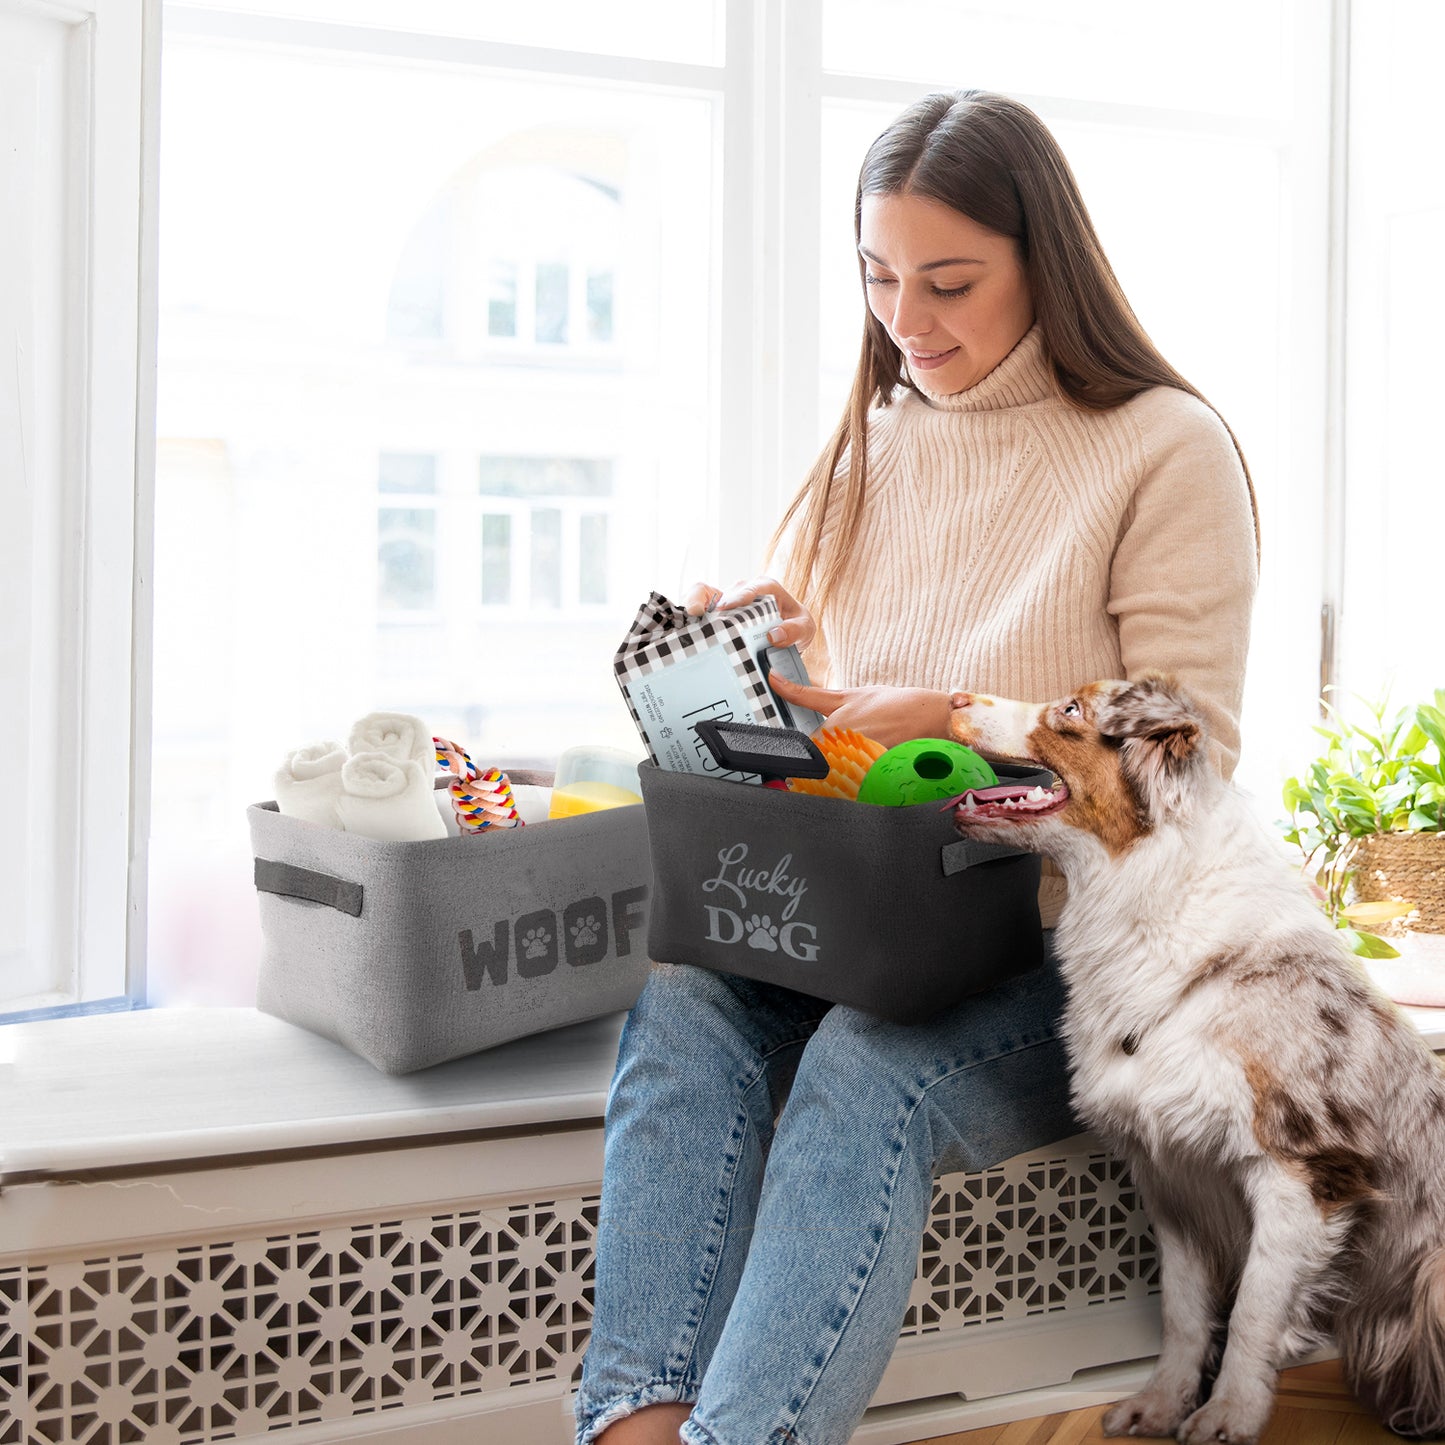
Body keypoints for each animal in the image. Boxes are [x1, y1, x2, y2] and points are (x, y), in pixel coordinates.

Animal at [942, 676, 1445, 1445]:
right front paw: (1161, 1402)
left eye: (1071, 710)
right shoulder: (1171, 1175)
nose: (951, 696)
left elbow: (1253, 1312)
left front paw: (1228, 1414)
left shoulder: (1300, 1171)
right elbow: (1182, 1312)